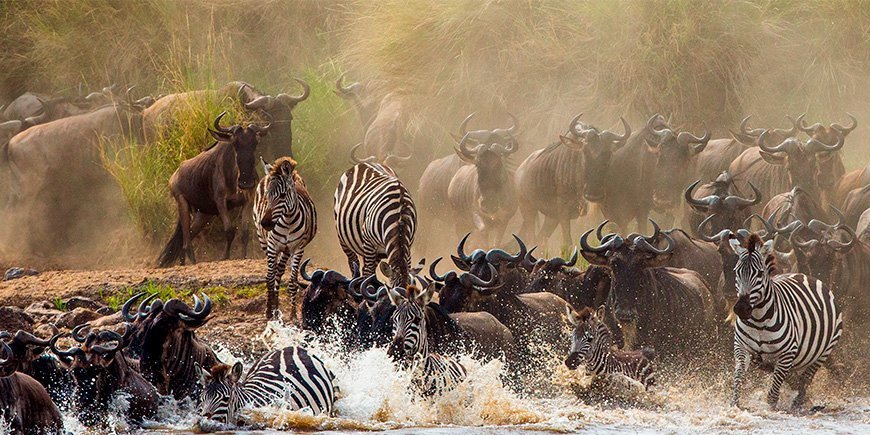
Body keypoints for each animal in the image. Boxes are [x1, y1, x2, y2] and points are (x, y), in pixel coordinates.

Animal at [253, 156, 317, 319]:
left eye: (282, 196)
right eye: (267, 196)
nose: (265, 223)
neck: (287, 220)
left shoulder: (298, 248)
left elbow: (293, 282)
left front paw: (293, 314)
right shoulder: (272, 246)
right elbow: (269, 278)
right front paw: (269, 311)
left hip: (287, 249)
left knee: (279, 271)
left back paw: (277, 307)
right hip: (263, 241)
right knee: (274, 272)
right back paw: (273, 308)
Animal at [729, 233, 843, 409]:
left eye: (759, 273)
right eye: (737, 272)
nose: (741, 309)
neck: (759, 320)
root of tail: (802, 274)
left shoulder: (787, 352)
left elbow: (774, 391)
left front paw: (771, 409)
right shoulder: (742, 347)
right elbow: (738, 377)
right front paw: (735, 404)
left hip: (824, 351)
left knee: (806, 378)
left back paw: (799, 402)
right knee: (792, 377)